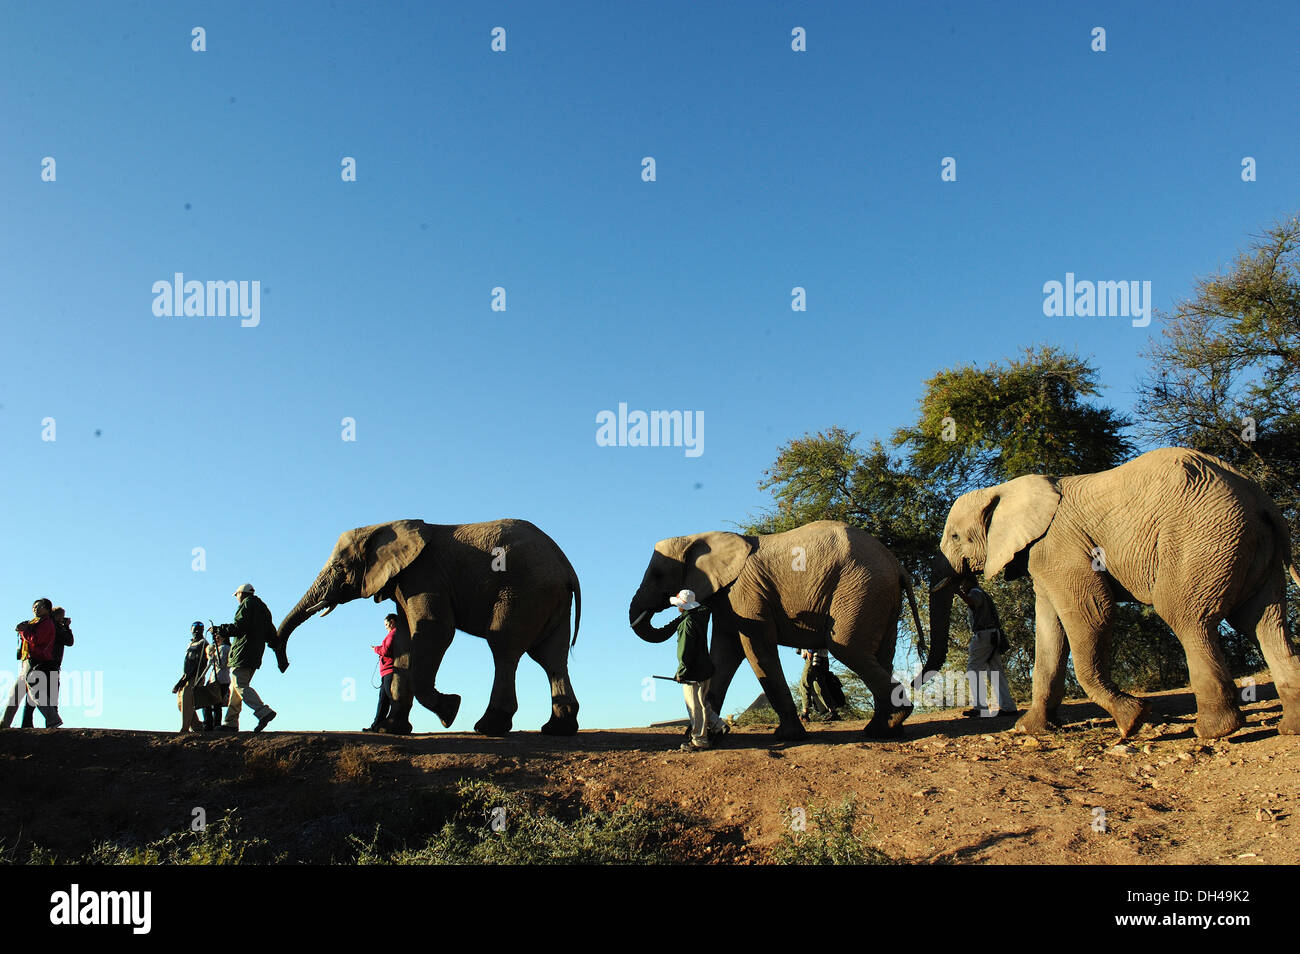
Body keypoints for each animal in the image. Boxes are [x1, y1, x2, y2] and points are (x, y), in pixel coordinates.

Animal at [277, 519, 581, 736]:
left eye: (339, 568)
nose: (284, 666)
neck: (382, 526)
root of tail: (566, 565)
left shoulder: (424, 575)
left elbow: (436, 630)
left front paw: (451, 710)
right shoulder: (403, 581)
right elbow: (404, 641)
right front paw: (392, 730)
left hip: (522, 592)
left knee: (504, 648)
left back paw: (489, 727)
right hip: (550, 597)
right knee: (551, 657)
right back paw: (558, 730)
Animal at [629, 520, 926, 740]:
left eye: (657, 575)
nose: (676, 608)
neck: (698, 536)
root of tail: (897, 565)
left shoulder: (746, 592)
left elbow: (756, 647)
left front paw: (788, 736)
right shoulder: (728, 597)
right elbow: (724, 655)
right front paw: (704, 736)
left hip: (861, 588)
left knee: (848, 649)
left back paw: (886, 726)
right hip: (880, 596)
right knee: (881, 655)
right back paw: (886, 728)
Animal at [922, 447, 1300, 740]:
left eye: (955, 537)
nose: (962, 582)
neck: (1007, 489)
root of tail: (1260, 498)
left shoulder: (1059, 547)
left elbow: (1091, 612)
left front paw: (1132, 721)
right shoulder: (1041, 555)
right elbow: (1050, 631)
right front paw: (1030, 730)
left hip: (1204, 537)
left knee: (1188, 618)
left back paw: (1213, 731)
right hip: (1248, 546)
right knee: (1265, 622)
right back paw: (1289, 727)